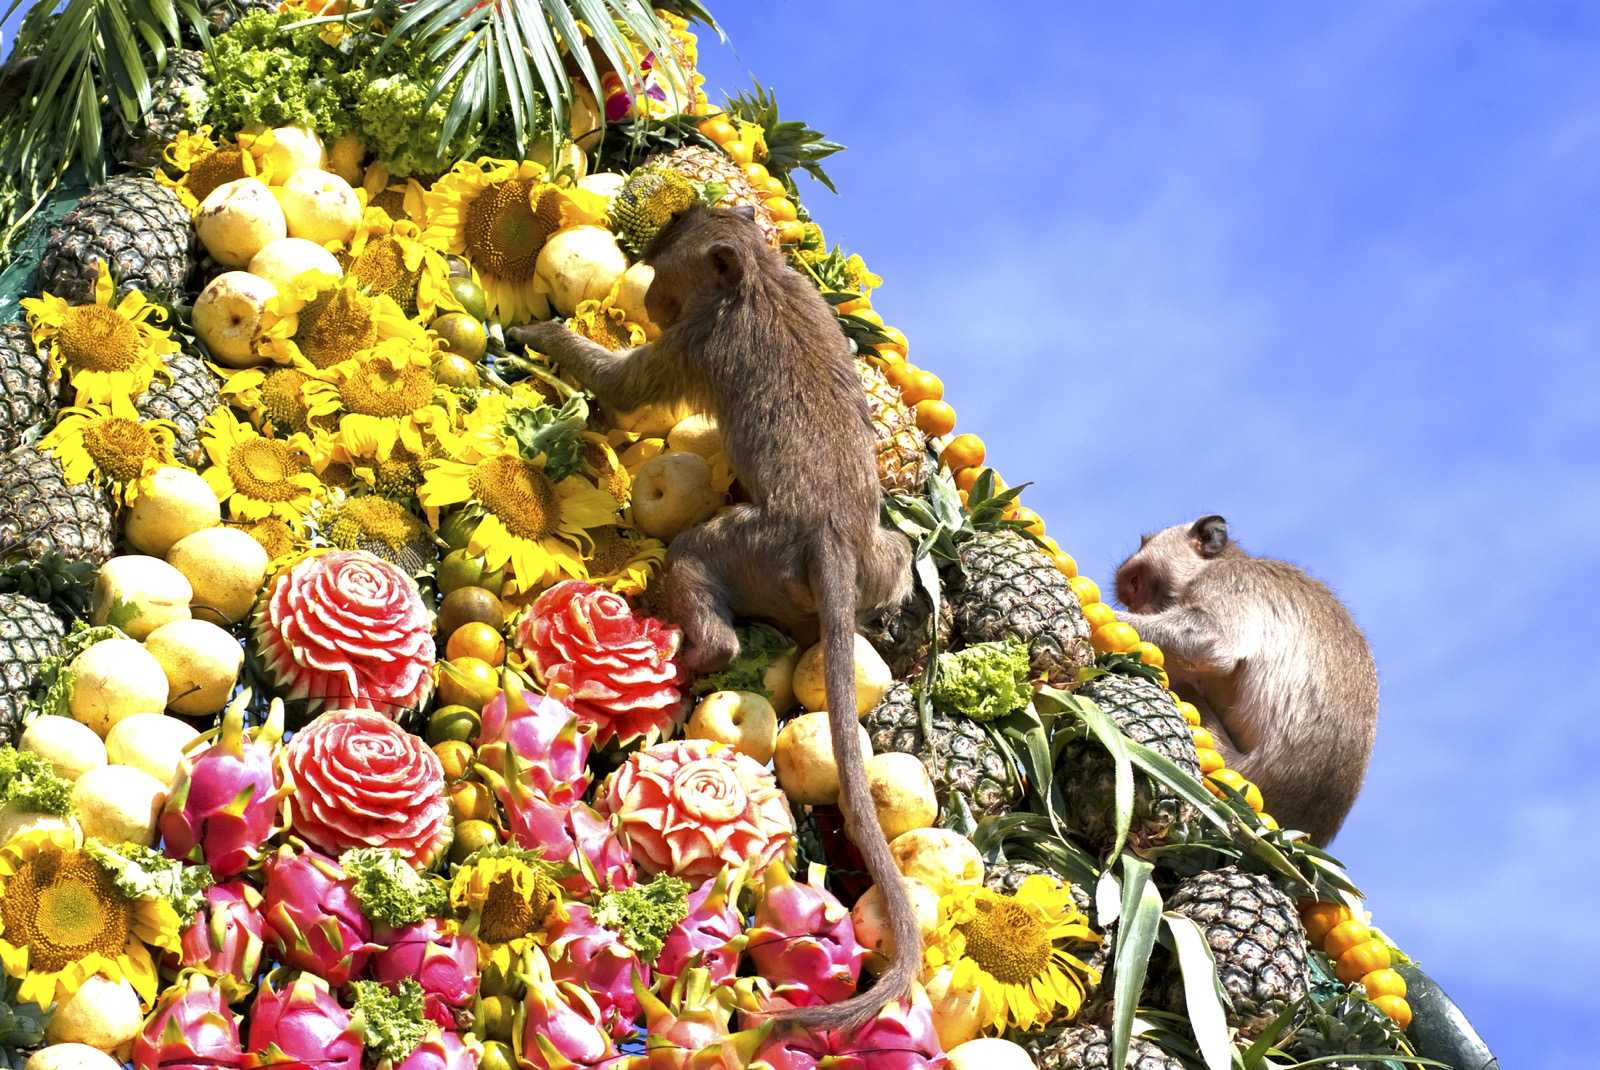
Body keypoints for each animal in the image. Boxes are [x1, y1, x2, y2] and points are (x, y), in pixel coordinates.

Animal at [505, 204, 921, 1030]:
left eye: (666, 277)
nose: (650, 299)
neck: (758, 275)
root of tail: (829, 539)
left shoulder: (696, 341)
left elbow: (626, 384)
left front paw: (544, 335)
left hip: (758, 550)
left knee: (698, 555)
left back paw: (702, 652)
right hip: (865, 558)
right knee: (894, 549)